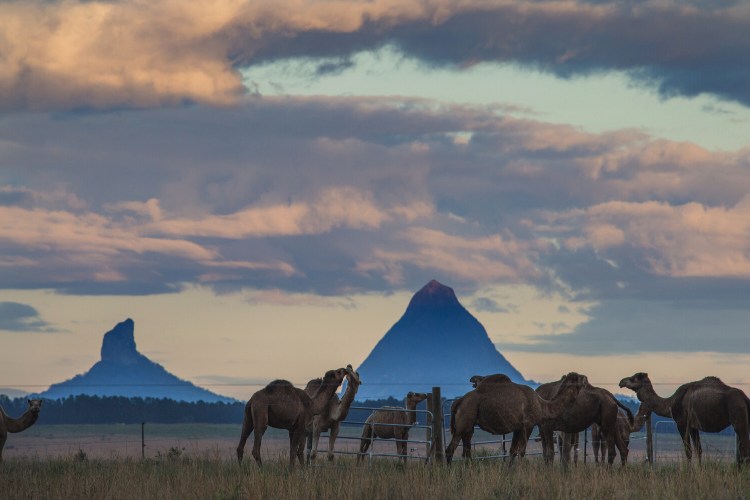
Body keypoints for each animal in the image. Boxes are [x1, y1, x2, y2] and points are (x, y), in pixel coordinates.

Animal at [446, 372, 588, 464]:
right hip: (464, 421)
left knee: (466, 450)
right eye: (580, 379)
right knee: (450, 449)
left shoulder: (517, 428)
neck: (542, 405)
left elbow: (512, 451)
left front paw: (508, 473)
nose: (586, 379)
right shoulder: (528, 424)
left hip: (468, 426)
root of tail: (459, 401)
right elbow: (522, 451)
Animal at [620, 372, 748, 464]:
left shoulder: (682, 423)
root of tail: (745, 398)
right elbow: (698, 450)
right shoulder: (693, 426)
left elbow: (688, 451)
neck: (670, 403)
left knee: (744, 447)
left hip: (738, 418)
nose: (621, 382)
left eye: (634, 378)